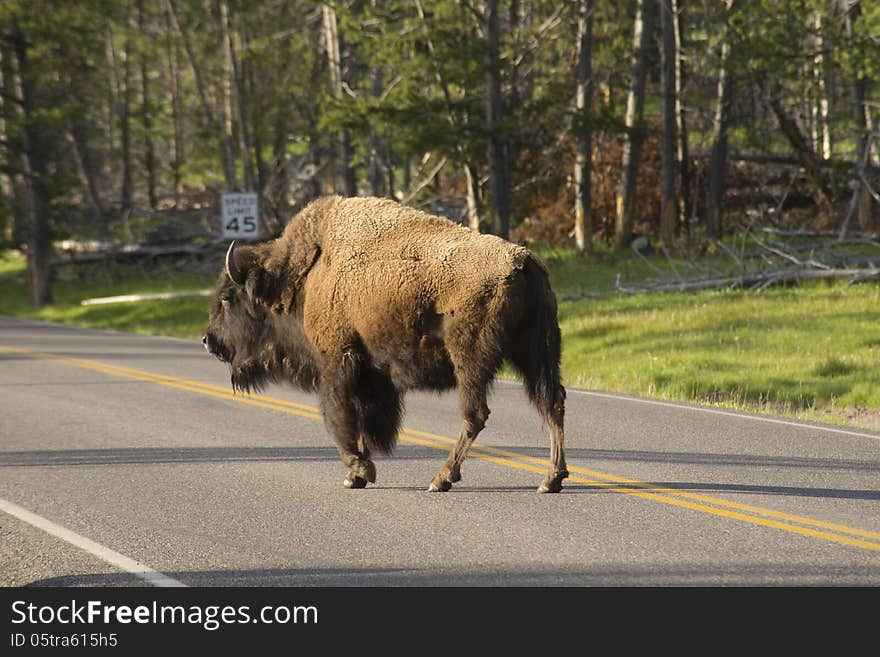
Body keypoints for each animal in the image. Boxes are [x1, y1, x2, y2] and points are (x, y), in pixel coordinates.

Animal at [202, 195, 568, 492]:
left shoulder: (337, 361)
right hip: (537, 354)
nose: (208, 340)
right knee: (552, 402)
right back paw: (551, 479)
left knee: (476, 414)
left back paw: (441, 479)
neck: (304, 276)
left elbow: (338, 415)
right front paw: (361, 469)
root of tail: (523, 262)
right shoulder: (372, 373)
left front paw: (357, 471)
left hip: (471, 360)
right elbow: (366, 417)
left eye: (228, 297)